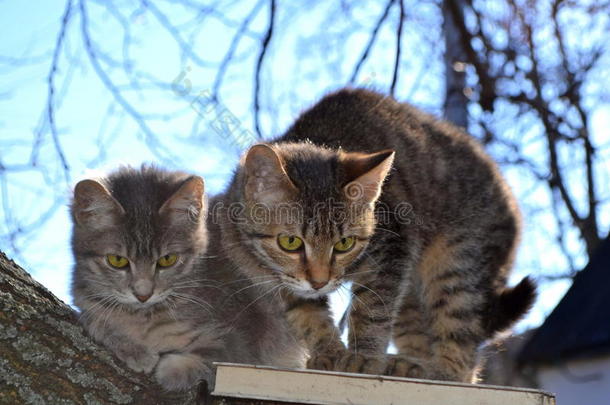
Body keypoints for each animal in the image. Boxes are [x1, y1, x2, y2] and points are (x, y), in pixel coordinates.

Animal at [70, 166, 302, 390]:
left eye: (167, 260)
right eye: (117, 260)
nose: (143, 294)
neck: (146, 317)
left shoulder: (244, 338)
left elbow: (218, 360)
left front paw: (170, 368)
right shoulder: (86, 301)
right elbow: (96, 321)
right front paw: (134, 350)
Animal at [218, 88, 532, 382]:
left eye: (344, 244)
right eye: (290, 242)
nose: (320, 282)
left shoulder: (391, 251)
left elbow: (370, 310)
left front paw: (363, 357)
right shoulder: (288, 285)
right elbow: (309, 316)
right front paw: (330, 352)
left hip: (457, 265)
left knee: (462, 357)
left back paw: (435, 370)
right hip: (413, 296)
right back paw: (408, 365)